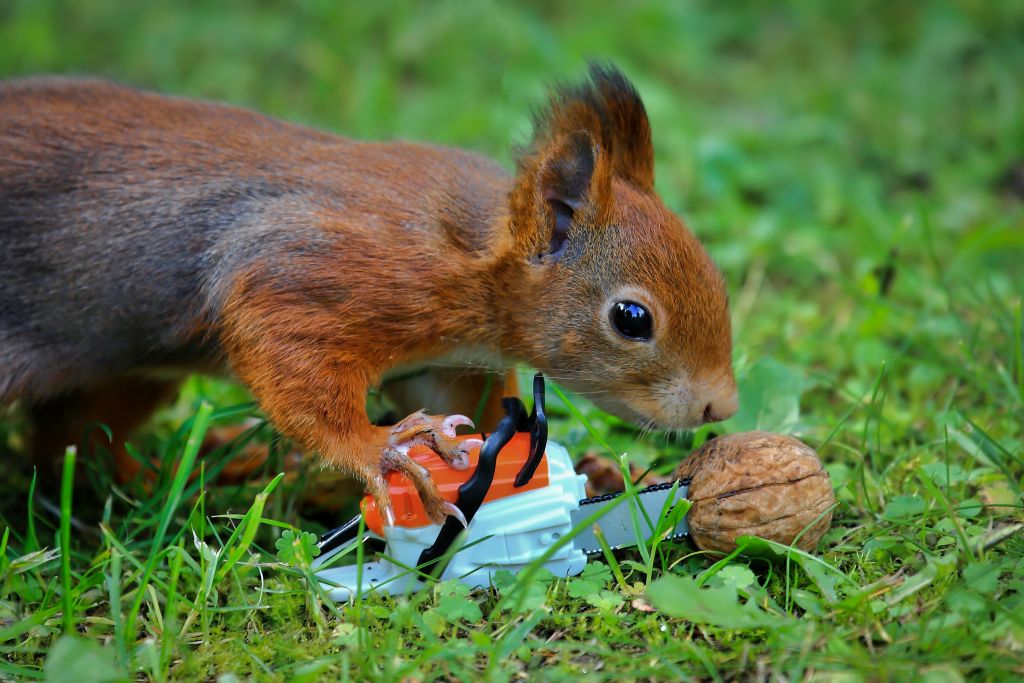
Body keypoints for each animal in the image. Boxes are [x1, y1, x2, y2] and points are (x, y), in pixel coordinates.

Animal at [0, 63, 737, 524]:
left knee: (70, 444)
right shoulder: (316, 272)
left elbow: (461, 412)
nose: (720, 406)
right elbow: (288, 353)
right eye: (632, 317)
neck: (472, 252)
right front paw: (380, 450)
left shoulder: (442, 361)